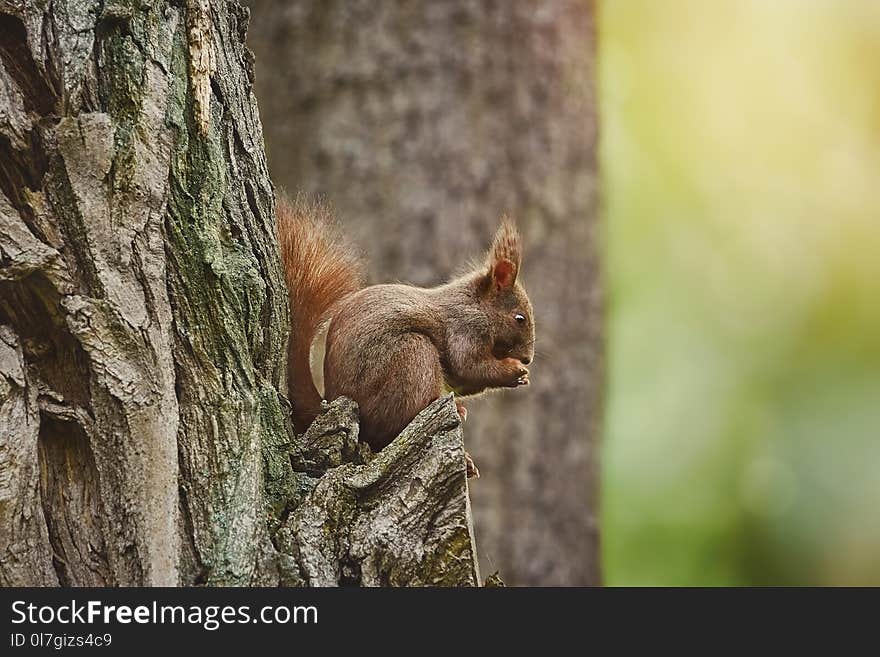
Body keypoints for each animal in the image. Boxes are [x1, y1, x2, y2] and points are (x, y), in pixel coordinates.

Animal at [278, 195, 532, 476]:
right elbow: (469, 366)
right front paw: (513, 371)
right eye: (519, 318)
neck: (476, 304)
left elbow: (462, 379)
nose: (528, 358)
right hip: (412, 355)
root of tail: (332, 398)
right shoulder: (465, 327)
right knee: (393, 426)